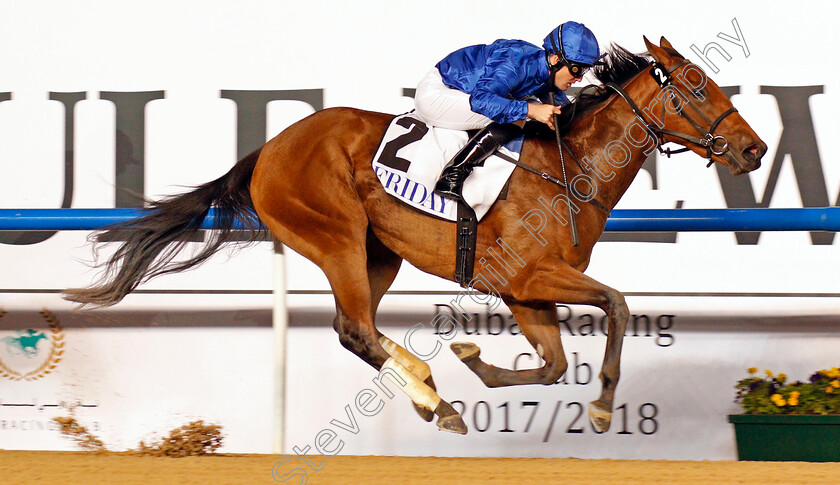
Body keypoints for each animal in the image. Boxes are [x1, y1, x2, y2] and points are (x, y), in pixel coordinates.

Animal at [65, 36, 764, 432]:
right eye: (698, 88)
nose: (754, 149)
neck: (570, 167)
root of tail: (269, 148)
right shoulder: (530, 273)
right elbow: (616, 304)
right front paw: (597, 406)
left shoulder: (523, 291)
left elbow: (553, 363)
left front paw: (476, 361)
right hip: (337, 238)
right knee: (353, 328)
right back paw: (433, 400)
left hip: (378, 255)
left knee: (358, 329)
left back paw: (433, 393)